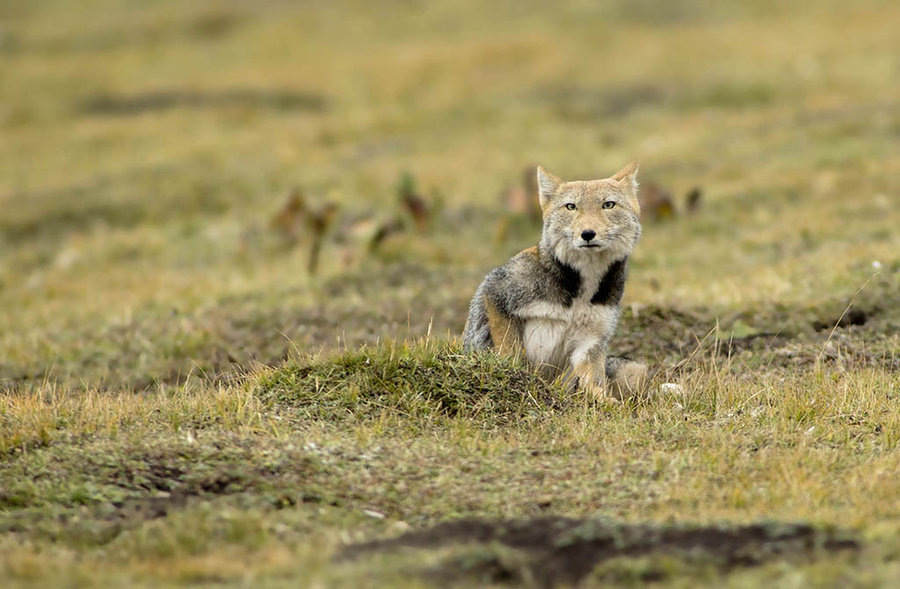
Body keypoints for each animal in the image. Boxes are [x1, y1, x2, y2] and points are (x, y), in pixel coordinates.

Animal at [464, 163, 648, 398]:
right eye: (571, 207)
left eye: (608, 205)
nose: (588, 234)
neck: (582, 290)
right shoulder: (495, 293)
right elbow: (511, 353)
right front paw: (519, 380)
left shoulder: (591, 340)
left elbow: (594, 383)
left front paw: (603, 402)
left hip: (637, 370)